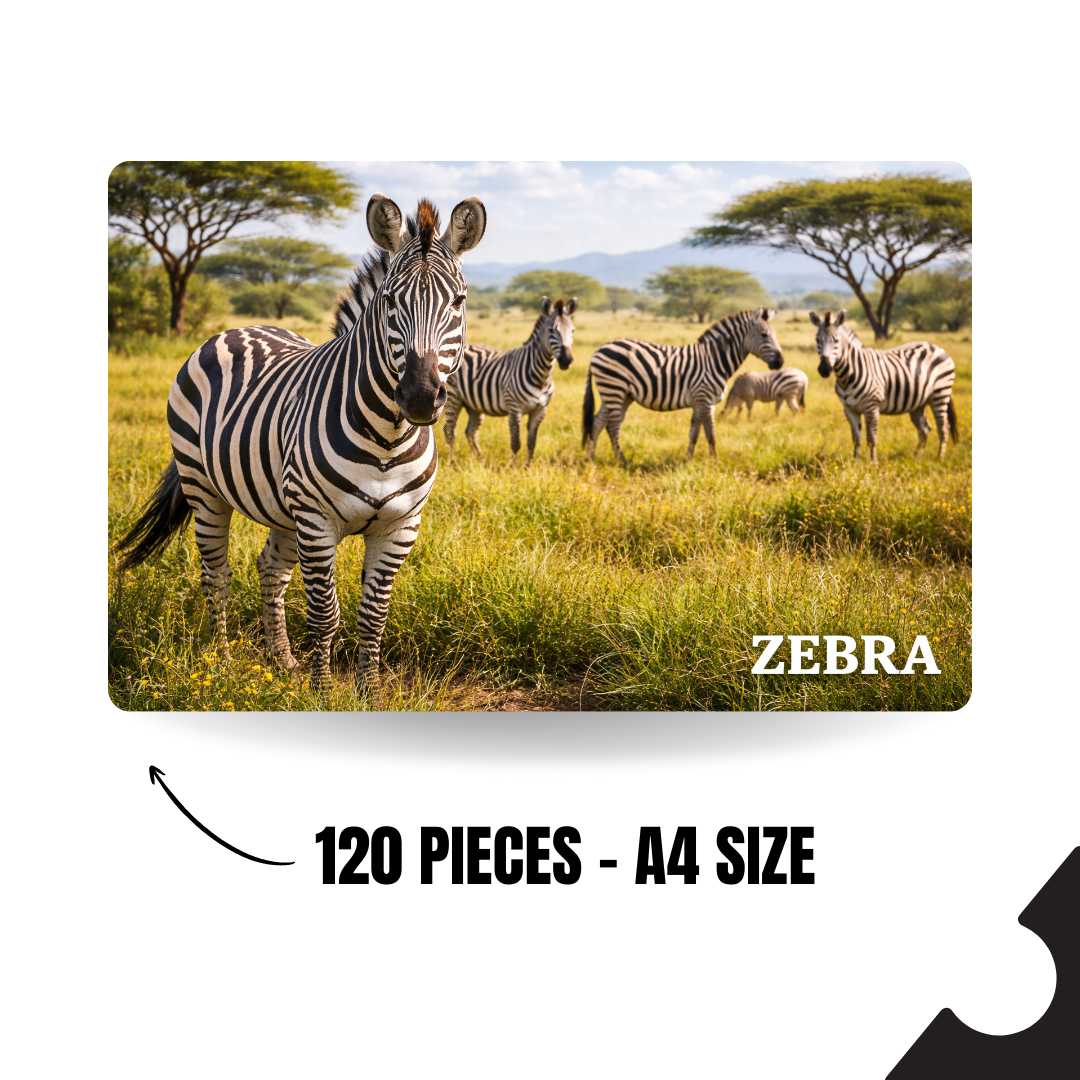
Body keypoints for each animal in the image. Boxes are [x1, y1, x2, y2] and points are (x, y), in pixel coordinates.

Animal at [113, 193, 487, 689]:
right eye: (390, 300)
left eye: (459, 301)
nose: (421, 397)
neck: (387, 441)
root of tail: (235, 330)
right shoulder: (316, 520)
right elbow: (325, 615)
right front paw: (324, 691)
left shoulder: (400, 526)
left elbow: (374, 616)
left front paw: (368, 692)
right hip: (205, 489)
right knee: (217, 575)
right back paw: (224, 664)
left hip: (283, 509)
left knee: (270, 571)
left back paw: (283, 660)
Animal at [442, 296, 577, 462]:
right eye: (551, 330)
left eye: (572, 330)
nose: (566, 361)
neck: (542, 376)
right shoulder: (514, 409)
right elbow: (516, 442)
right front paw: (513, 467)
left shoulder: (540, 410)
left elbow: (532, 442)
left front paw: (528, 466)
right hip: (454, 398)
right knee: (449, 431)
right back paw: (452, 461)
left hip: (473, 404)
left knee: (470, 432)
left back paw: (480, 459)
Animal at [582, 308, 783, 465]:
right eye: (764, 335)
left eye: (775, 336)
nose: (780, 362)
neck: (716, 360)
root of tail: (598, 350)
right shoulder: (705, 398)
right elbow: (711, 433)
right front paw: (716, 462)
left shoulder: (701, 402)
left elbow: (694, 432)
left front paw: (689, 460)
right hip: (614, 389)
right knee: (612, 425)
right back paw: (621, 461)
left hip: (620, 394)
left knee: (598, 421)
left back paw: (590, 459)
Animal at [810, 309, 957, 462]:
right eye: (817, 340)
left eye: (836, 340)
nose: (824, 369)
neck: (846, 376)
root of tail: (937, 347)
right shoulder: (849, 409)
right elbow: (856, 438)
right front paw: (856, 463)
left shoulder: (872, 405)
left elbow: (871, 438)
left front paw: (873, 464)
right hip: (918, 403)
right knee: (925, 429)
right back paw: (916, 457)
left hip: (940, 393)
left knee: (944, 427)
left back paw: (940, 458)